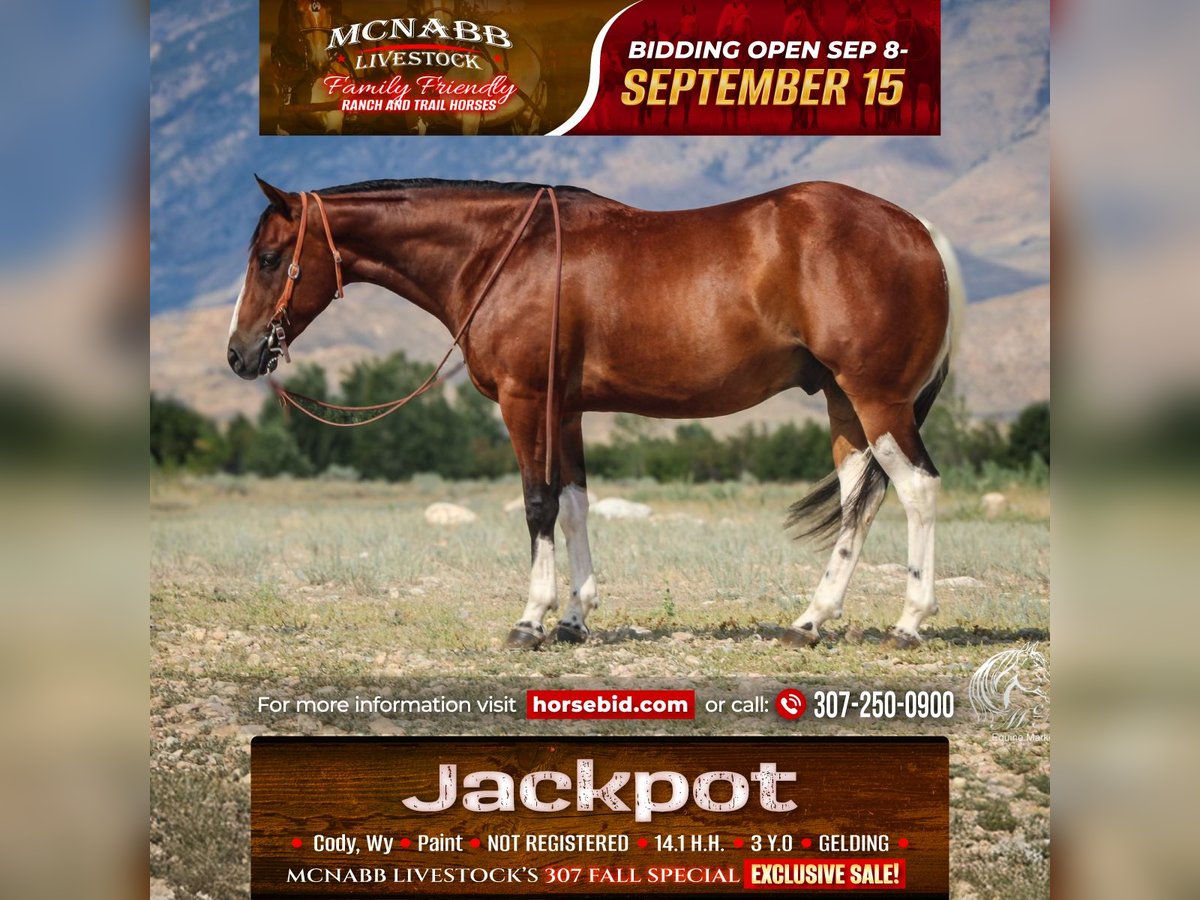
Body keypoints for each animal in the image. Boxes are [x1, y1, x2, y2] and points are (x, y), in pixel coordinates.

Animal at [227, 177, 965, 651]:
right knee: (858, 501)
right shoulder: (566, 411)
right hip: (844, 404)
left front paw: (531, 620)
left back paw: (909, 623)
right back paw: (811, 621)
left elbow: (537, 504)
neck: (503, 254)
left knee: (919, 490)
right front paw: (575, 619)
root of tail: (918, 229)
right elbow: (576, 504)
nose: (240, 353)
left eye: (269, 258)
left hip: (878, 400)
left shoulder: (526, 401)